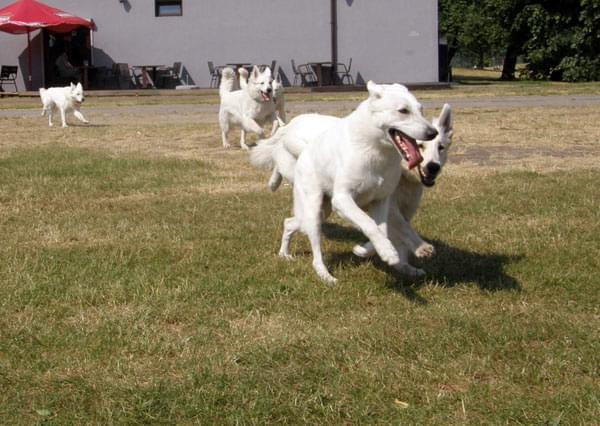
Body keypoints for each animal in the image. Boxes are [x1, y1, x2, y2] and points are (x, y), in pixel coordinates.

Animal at [255, 82, 438, 284]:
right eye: (403, 111)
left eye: (421, 109)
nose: (433, 133)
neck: (375, 150)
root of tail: (305, 150)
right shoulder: (342, 200)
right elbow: (368, 223)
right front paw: (388, 252)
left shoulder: (381, 201)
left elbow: (381, 229)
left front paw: (366, 250)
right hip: (313, 209)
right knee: (315, 253)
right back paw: (326, 276)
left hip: (323, 211)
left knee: (289, 223)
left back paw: (284, 254)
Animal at [352, 102, 454, 272]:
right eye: (420, 146)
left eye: (440, 147)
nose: (433, 167)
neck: (404, 176)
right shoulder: (391, 208)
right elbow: (402, 229)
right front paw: (421, 247)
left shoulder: (405, 210)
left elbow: (398, 237)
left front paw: (404, 266)